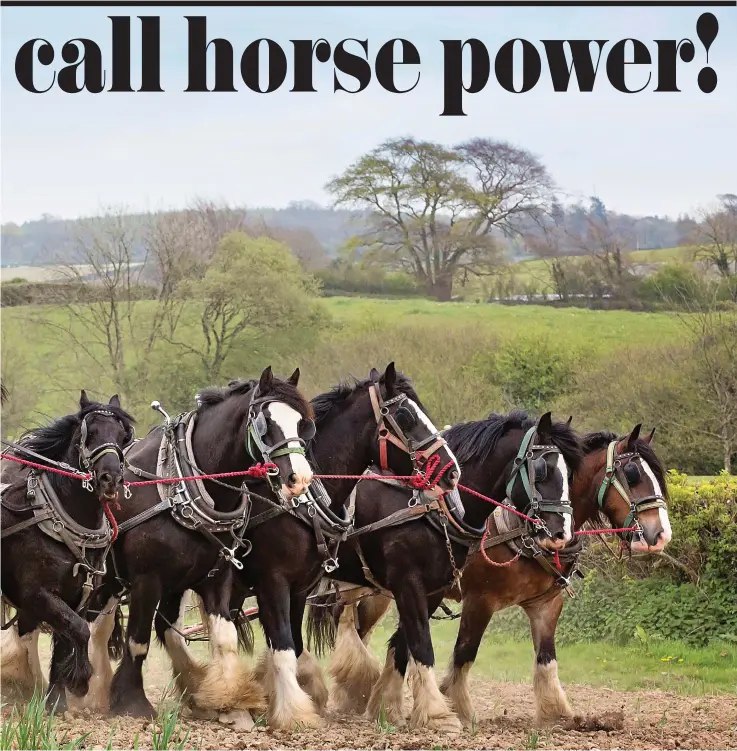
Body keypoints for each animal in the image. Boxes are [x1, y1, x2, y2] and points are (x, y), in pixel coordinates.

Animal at [0, 394, 136, 712]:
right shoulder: (37, 595)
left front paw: (56, 701)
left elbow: (66, 640)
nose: (111, 478)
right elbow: (79, 630)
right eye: (90, 434)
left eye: (123, 436)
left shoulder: (78, 597)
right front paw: (81, 680)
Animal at [304, 408, 580, 732]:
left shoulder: (434, 590)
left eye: (570, 474)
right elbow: (430, 645)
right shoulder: (430, 588)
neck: (434, 508)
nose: (561, 533)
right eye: (542, 470)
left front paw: (388, 708)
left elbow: (404, 644)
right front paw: (441, 713)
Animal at [334, 424, 672, 728]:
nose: (660, 534)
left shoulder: (546, 604)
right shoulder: (479, 600)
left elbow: (546, 658)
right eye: (633, 474)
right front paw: (457, 708)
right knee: (355, 628)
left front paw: (557, 714)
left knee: (370, 633)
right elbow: (463, 652)